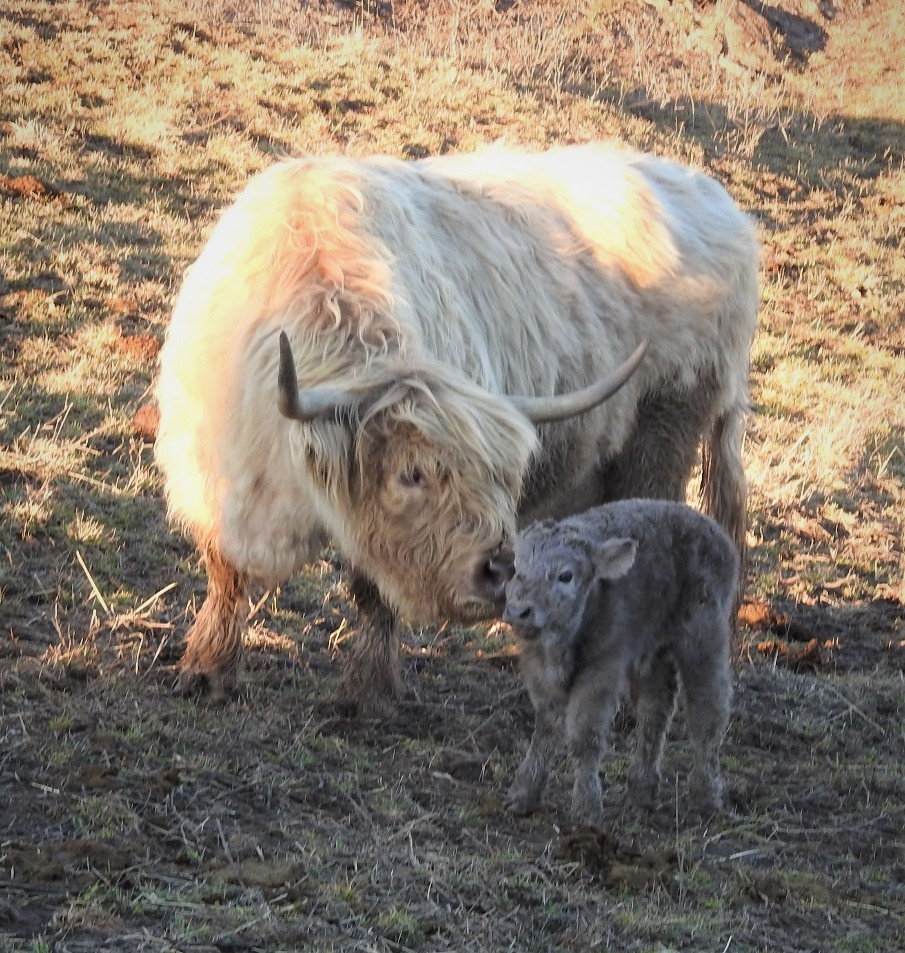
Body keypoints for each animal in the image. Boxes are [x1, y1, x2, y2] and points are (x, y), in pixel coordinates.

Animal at [154, 142, 758, 714]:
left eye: (504, 477)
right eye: (411, 475)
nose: (498, 571)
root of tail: (717, 201)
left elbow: (374, 593)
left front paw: (370, 691)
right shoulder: (219, 479)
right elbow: (227, 573)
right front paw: (207, 669)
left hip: (663, 434)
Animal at [502, 499, 738, 825]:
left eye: (566, 575)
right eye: (516, 568)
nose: (519, 611)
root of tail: (713, 529)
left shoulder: (601, 671)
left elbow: (584, 737)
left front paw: (586, 807)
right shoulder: (539, 672)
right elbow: (546, 729)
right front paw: (523, 794)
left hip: (704, 642)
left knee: (708, 710)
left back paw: (706, 796)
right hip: (654, 649)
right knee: (655, 711)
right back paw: (642, 791)